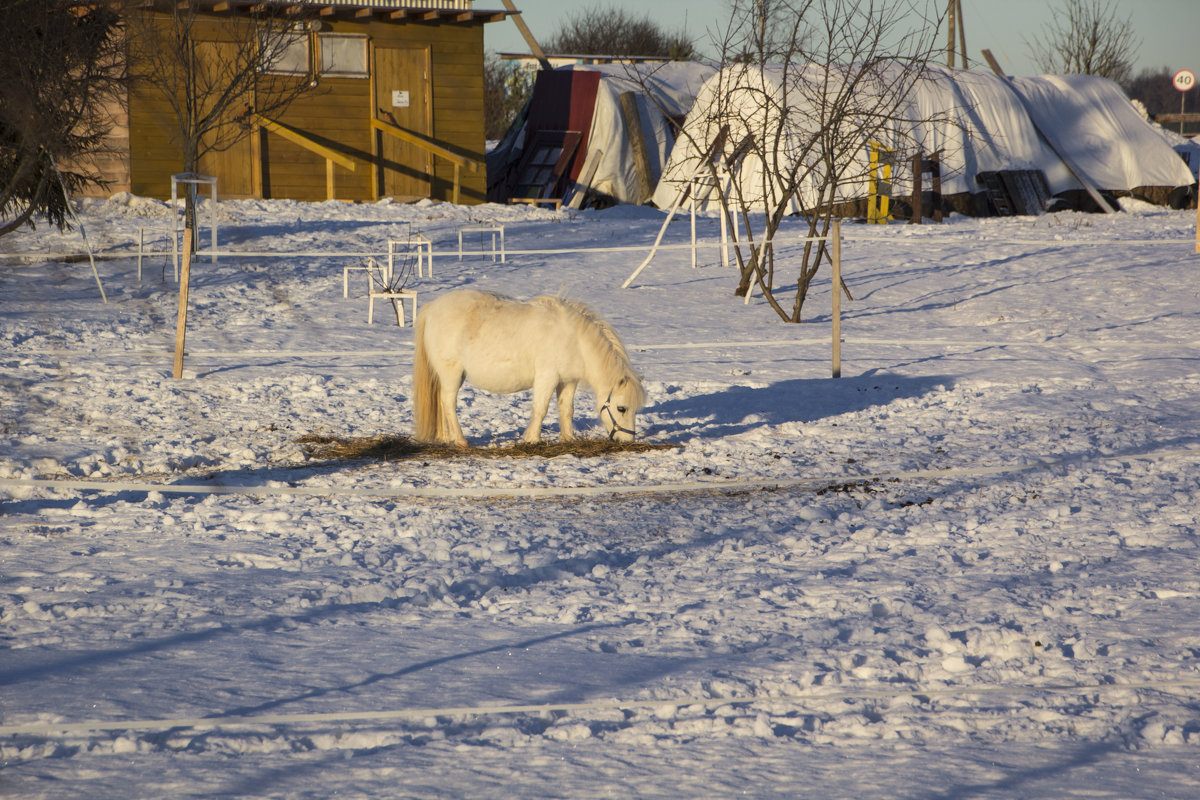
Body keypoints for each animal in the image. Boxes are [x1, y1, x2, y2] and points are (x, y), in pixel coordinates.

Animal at [412, 291, 648, 448]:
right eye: (622, 408)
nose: (627, 440)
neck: (574, 339)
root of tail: (432, 307)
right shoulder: (547, 377)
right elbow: (540, 409)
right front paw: (532, 439)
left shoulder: (567, 381)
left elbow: (566, 410)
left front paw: (568, 439)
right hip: (451, 373)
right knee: (448, 403)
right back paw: (460, 441)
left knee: (441, 402)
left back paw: (446, 437)